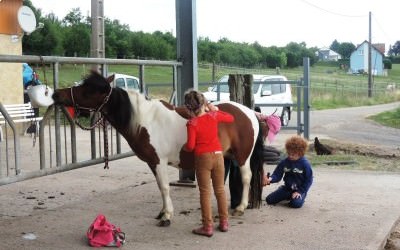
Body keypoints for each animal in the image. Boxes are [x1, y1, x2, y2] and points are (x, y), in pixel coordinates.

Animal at [52, 70, 266, 227]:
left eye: (89, 90)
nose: (56, 94)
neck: (145, 121)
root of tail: (249, 112)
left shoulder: (158, 161)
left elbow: (164, 187)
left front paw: (167, 216)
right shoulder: (152, 163)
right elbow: (159, 186)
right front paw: (162, 212)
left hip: (242, 156)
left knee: (246, 177)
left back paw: (241, 207)